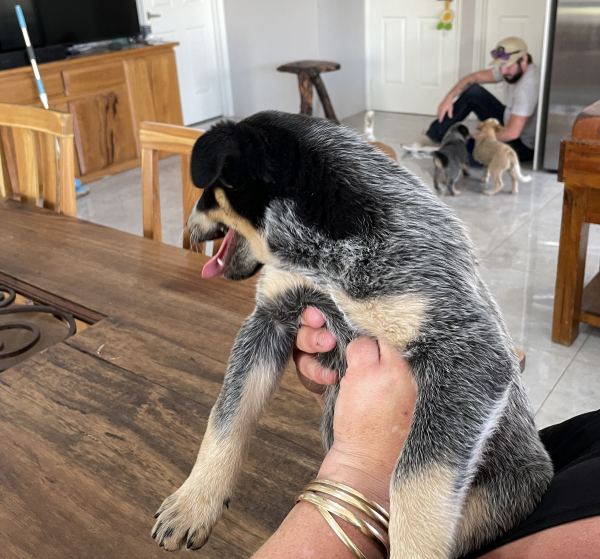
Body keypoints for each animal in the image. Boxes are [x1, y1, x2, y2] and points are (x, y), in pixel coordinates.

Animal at [151, 111, 552, 556]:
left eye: (206, 192)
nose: (187, 226)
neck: (326, 253)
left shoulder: (469, 350)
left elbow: (415, 479)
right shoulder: (270, 318)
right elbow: (225, 416)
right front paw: (193, 503)